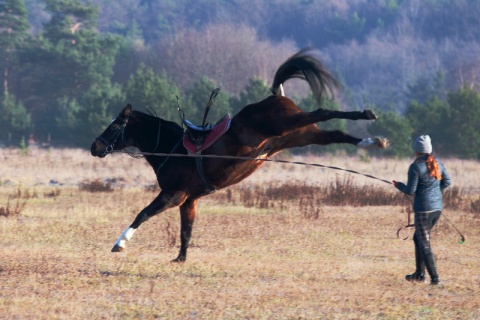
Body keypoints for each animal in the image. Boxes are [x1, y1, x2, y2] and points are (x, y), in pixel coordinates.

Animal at [92, 48, 388, 262]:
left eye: (115, 126)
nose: (95, 147)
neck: (172, 149)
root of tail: (275, 96)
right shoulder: (190, 200)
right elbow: (186, 231)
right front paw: (180, 259)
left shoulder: (173, 194)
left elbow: (142, 214)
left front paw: (120, 243)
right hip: (301, 135)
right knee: (335, 133)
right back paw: (372, 141)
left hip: (288, 123)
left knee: (323, 111)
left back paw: (367, 116)